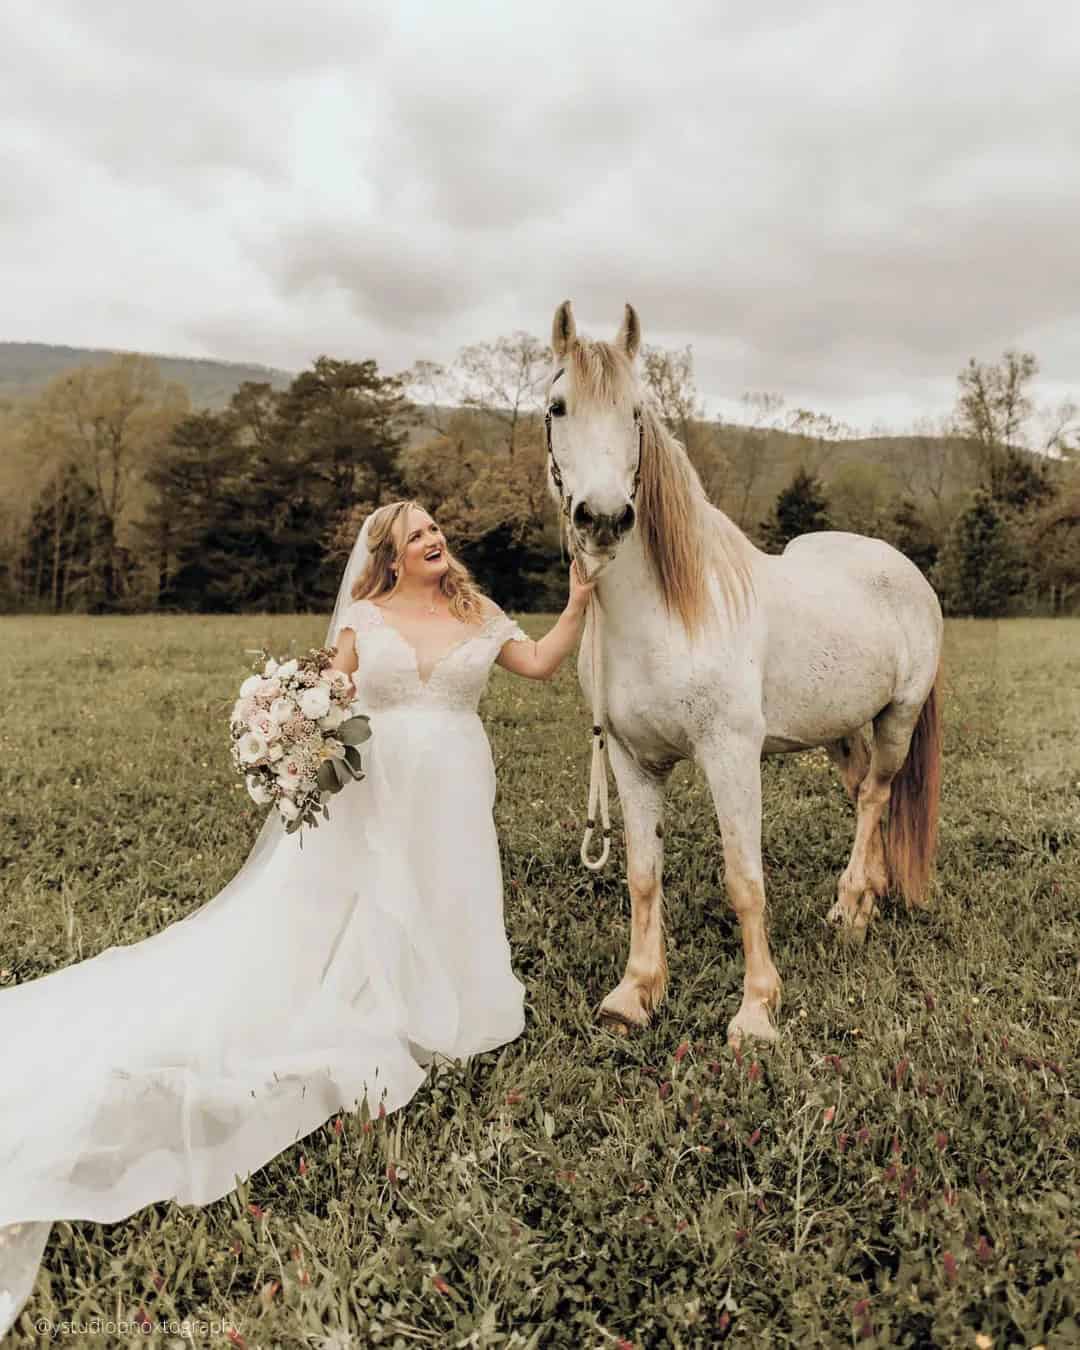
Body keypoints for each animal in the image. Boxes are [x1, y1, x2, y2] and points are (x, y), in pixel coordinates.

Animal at [545, 303, 939, 1042]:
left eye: (635, 412)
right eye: (558, 407)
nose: (604, 519)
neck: (667, 612)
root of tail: (903, 570)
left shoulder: (730, 755)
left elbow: (744, 880)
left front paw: (756, 1011)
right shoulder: (632, 761)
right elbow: (643, 875)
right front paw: (635, 994)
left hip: (897, 720)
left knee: (876, 796)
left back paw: (853, 911)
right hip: (840, 730)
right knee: (862, 794)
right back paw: (860, 902)